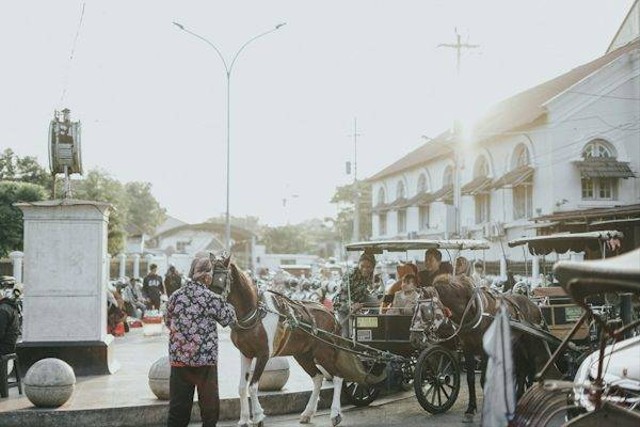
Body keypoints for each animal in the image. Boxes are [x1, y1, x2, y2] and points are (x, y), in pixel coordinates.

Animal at [211, 254, 384, 427]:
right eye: (209, 278)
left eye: (220, 280)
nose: (210, 303)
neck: (255, 313)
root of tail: (331, 314)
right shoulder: (245, 353)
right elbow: (242, 387)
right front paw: (244, 419)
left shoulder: (263, 354)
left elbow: (253, 386)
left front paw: (258, 416)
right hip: (303, 354)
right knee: (318, 377)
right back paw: (308, 413)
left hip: (324, 352)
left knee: (337, 376)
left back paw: (335, 413)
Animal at [410, 276, 552, 422]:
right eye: (413, 308)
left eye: (425, 311)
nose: (414, 338)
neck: (471, 311)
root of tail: (534, 305)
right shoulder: (467, 348)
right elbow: (471, 378)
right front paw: (470, 409)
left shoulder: (485, 349)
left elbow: (484, 380)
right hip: (516, 344)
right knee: (521, 368)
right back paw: (519, 397)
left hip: (528, 342)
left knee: (526, 368)